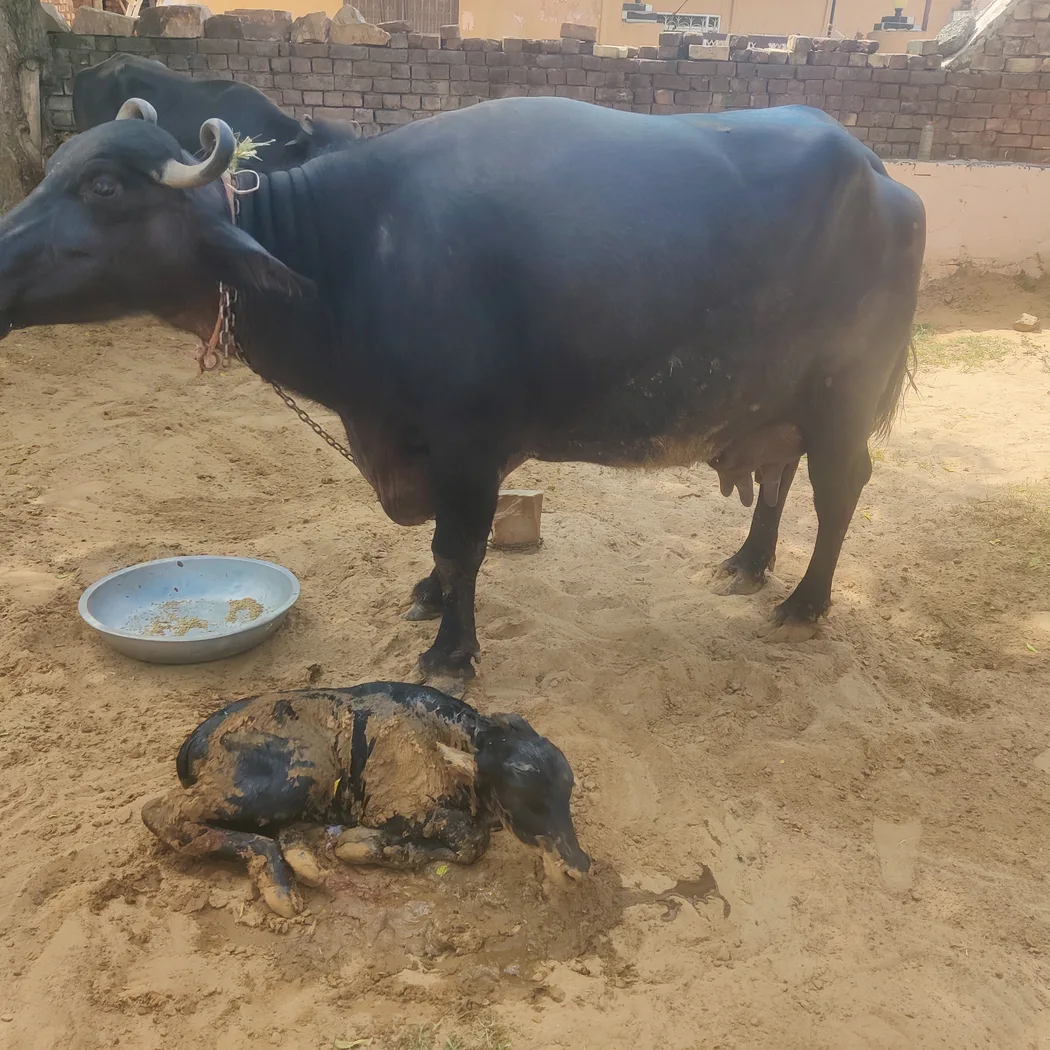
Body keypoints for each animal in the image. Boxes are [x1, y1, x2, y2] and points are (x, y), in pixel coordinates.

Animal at [0, 96, 925, 692]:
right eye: (54, 173)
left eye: (105, 187)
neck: (353, 254)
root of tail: (883, 176)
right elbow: (445, 549)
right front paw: (428, 600)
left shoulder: (470, 444)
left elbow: (460, 546)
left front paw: (451, 649)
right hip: (776, 401)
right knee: (777, 475)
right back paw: (748, 562)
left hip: (841, 399)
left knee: (841, 487)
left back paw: (804, 602)